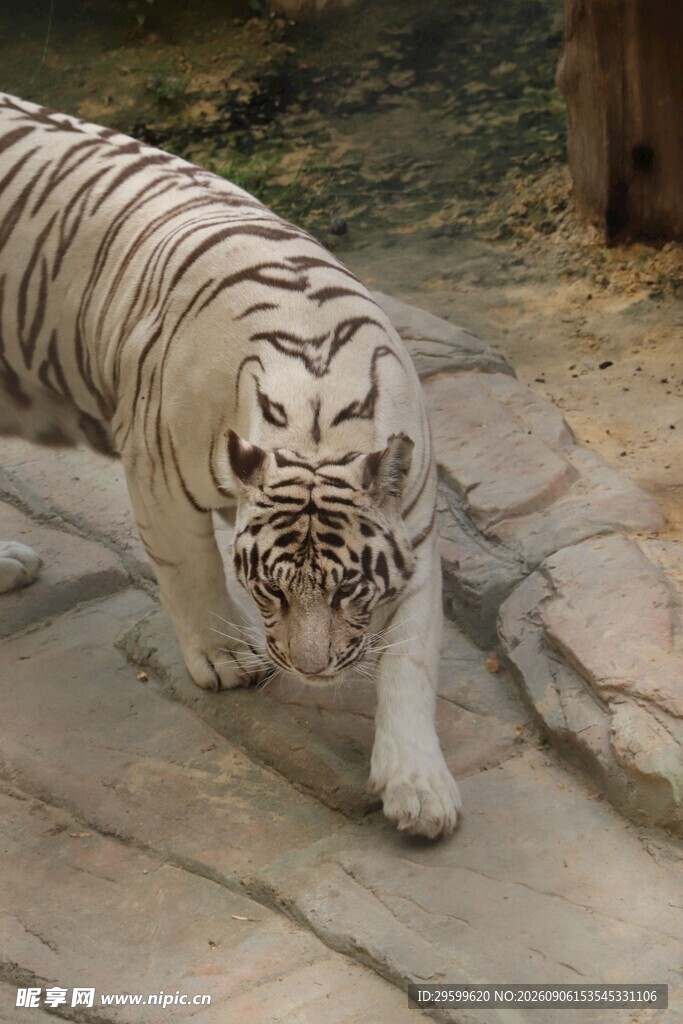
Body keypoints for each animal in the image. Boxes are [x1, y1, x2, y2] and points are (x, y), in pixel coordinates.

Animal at [0, 92, 461, 838]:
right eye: (271, 590)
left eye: (345, 591)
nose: (310, 669)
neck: (317, 413)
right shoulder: (156, 471)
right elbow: (191, 574)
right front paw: (226, 660)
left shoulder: (414, 534)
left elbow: (410, 659)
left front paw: (418, 789)